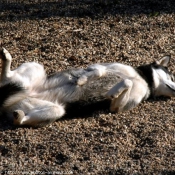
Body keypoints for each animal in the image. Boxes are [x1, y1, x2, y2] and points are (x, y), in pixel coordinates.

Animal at [0, 45, 175, 126]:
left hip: (55, 110)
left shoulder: (117, 108)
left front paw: (113, 92)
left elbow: (126, 84)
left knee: (21, 120)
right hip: (36, 68)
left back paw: (19, 117)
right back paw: (6, 57)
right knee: (6, 77)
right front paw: (83, 79)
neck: (143, 79)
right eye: (172, 76)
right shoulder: (104, 66)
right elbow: (99, 71)